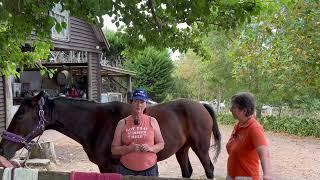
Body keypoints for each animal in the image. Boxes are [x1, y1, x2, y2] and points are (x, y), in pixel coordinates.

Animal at [0, 92, 221, 178]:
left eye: (20, 115)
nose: (3, 148)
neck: (97, 122)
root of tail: (201, 105)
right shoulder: (103, 167)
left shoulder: (112, 166)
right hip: (182, 149)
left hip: (200, 148)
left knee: (209, 169)